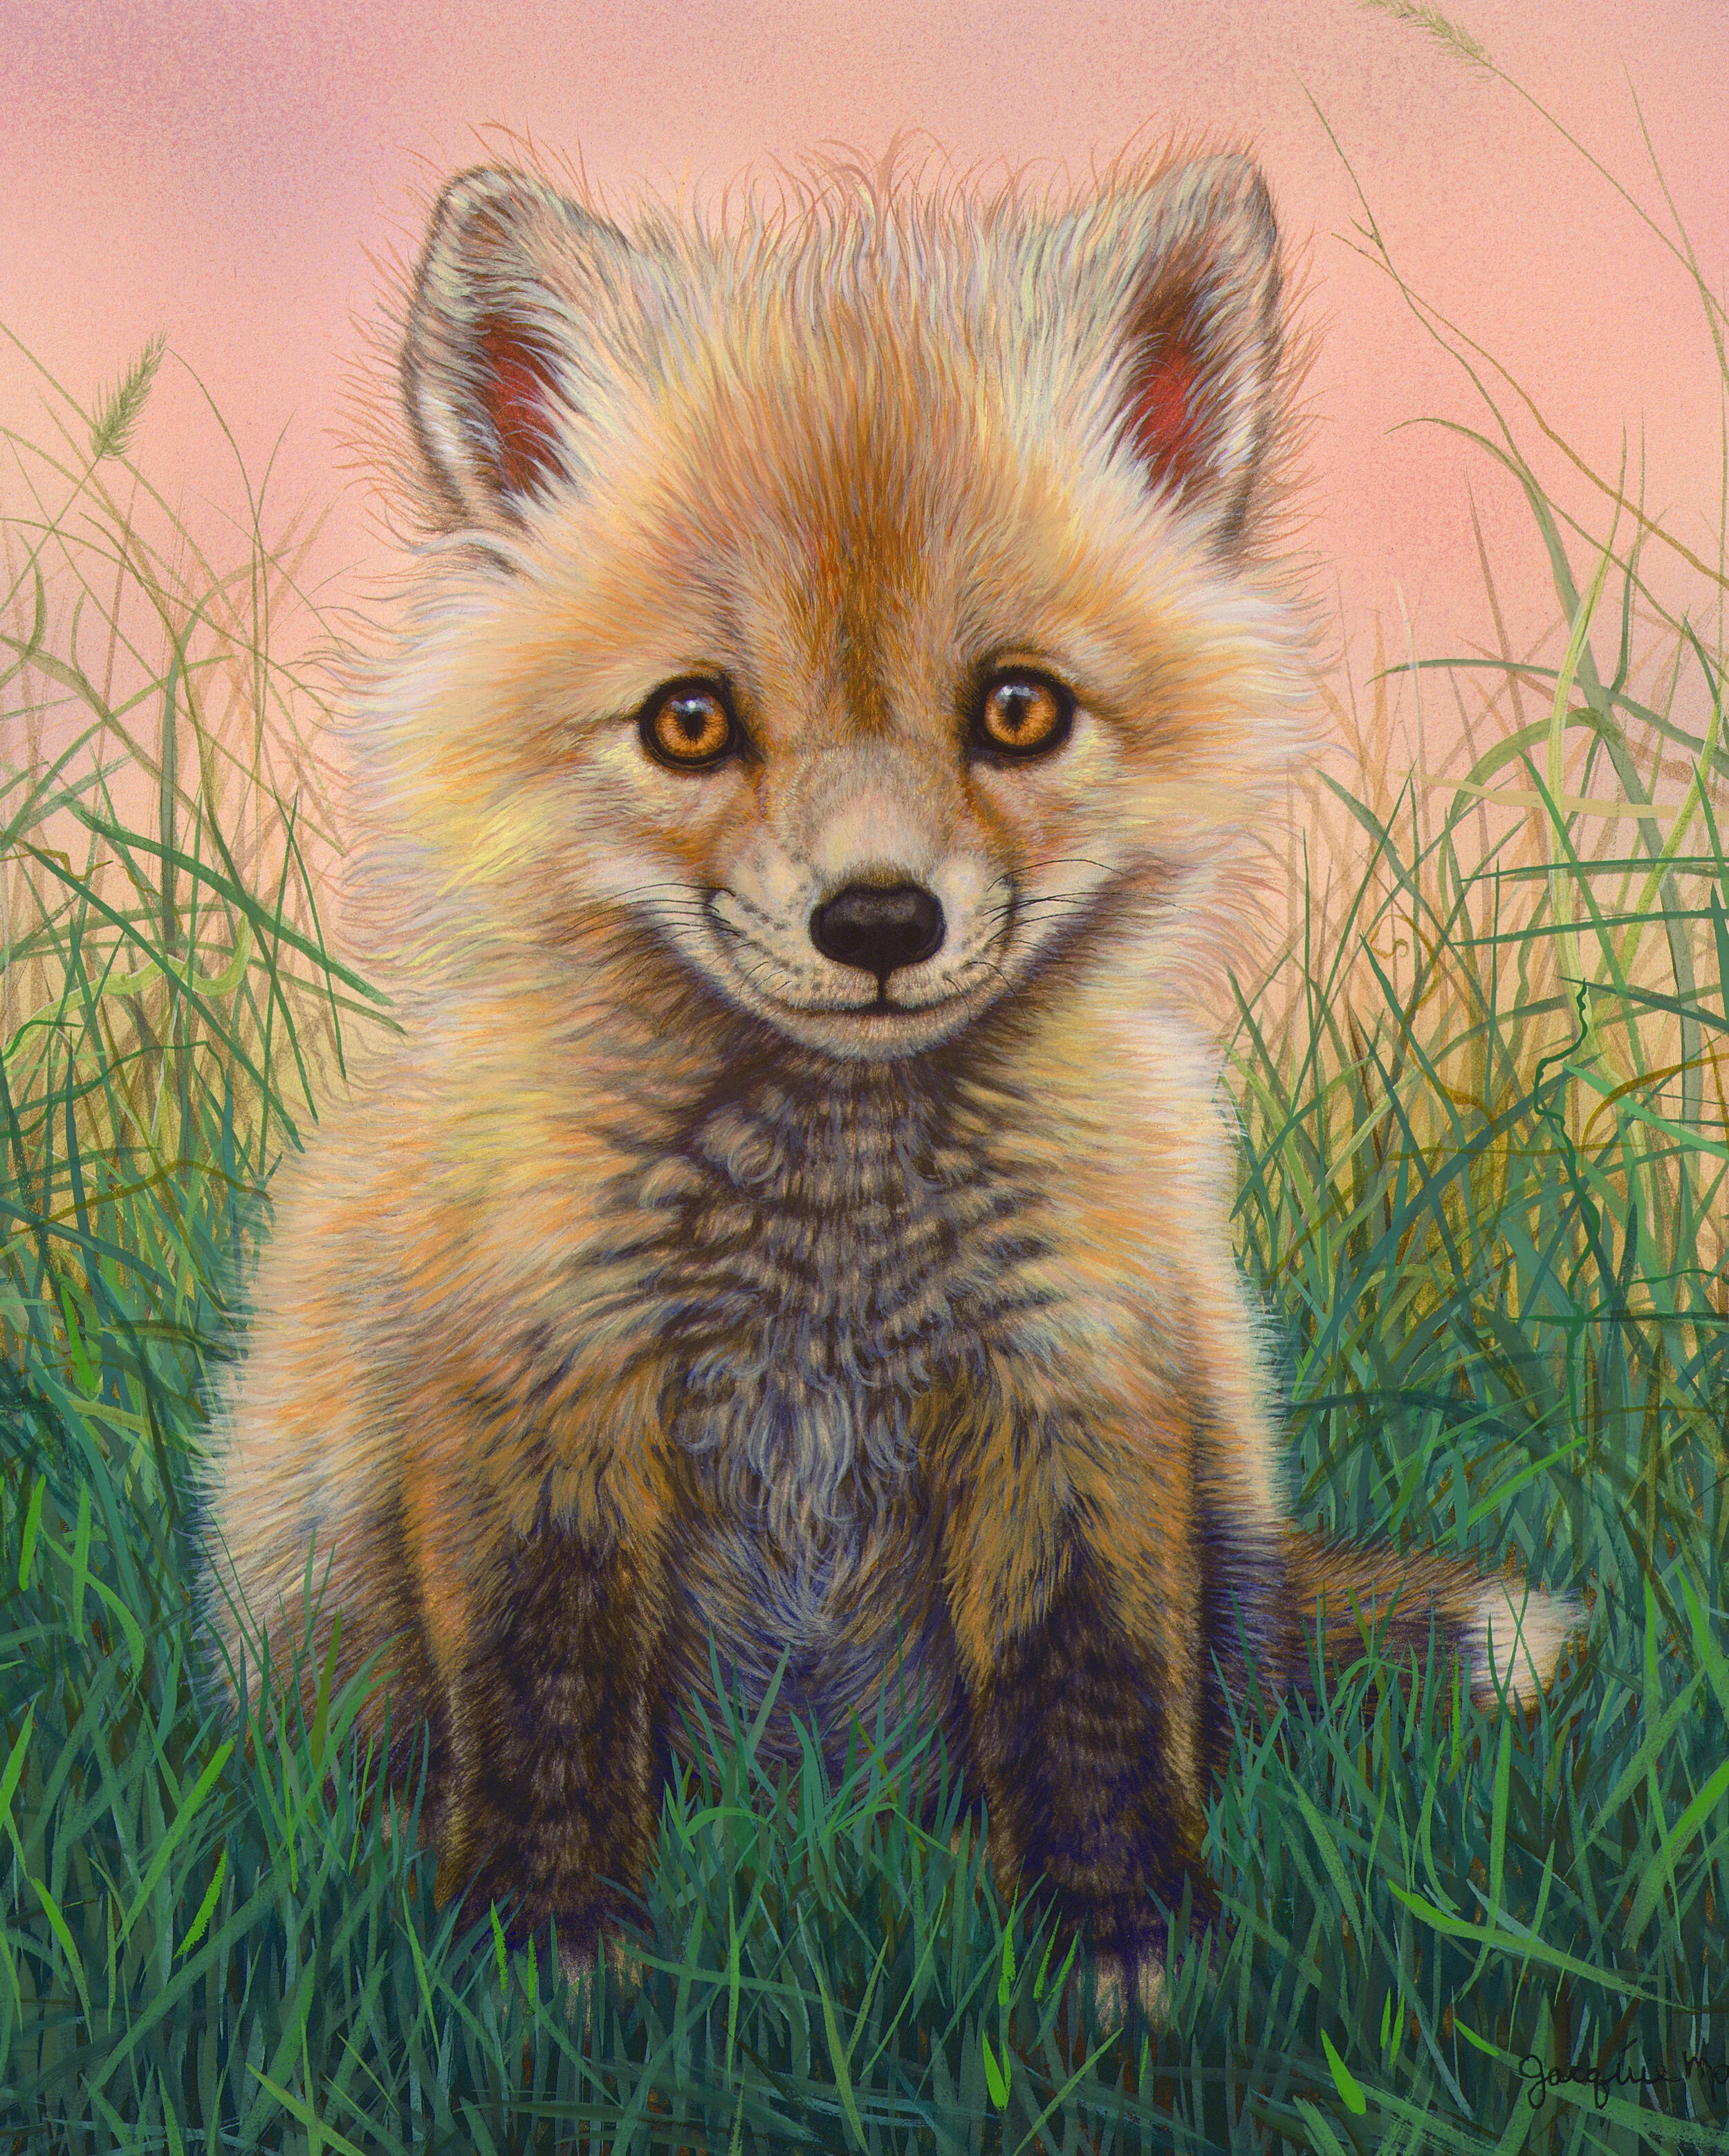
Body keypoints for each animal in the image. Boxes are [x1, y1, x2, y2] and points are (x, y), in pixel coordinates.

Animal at [201, 143, 1580, 2017]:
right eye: (690, 722)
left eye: (1017, 710)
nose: (874, 919)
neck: (829, 1245)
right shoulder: (539, 1393)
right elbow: (547, 1708)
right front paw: (548, 1968)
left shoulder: (1067, 1383)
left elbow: (1087, 1700)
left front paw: (1123, 1958)